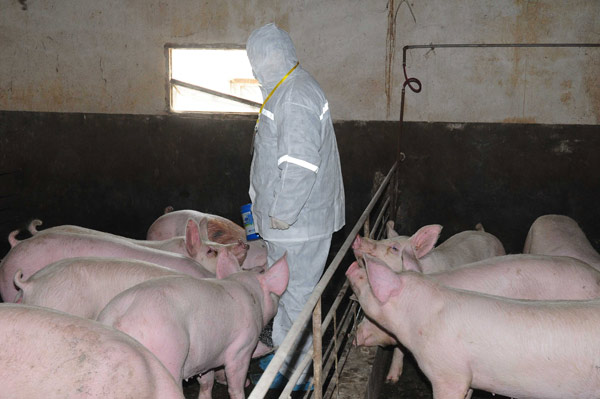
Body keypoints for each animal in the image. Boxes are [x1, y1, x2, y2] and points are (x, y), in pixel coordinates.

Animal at [97, 252, 290, 398]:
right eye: (261, 270)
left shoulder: (206, 356)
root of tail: (117, 319)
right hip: (168, 352)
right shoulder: (242, 348)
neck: (251, 293)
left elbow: (207, 382)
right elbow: (235, 384)